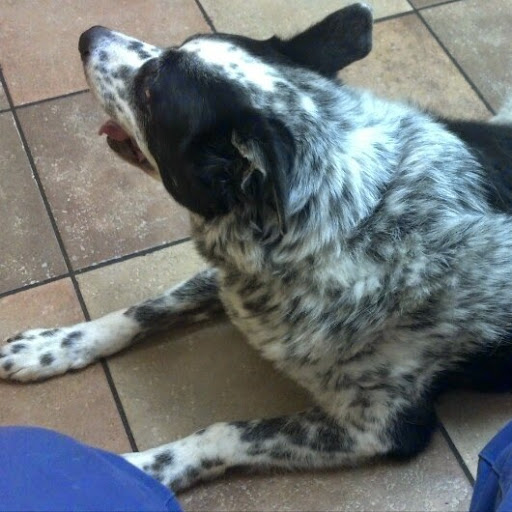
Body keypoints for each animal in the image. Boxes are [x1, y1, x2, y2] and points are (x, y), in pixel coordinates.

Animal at [2, 2, 512, 492]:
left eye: (150, 91)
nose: (87, 35)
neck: (361, 218)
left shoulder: (380, 427)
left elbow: (223, 432)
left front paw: (134, 470)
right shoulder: (234, 278)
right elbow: (145, 310)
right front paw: (55, 347)